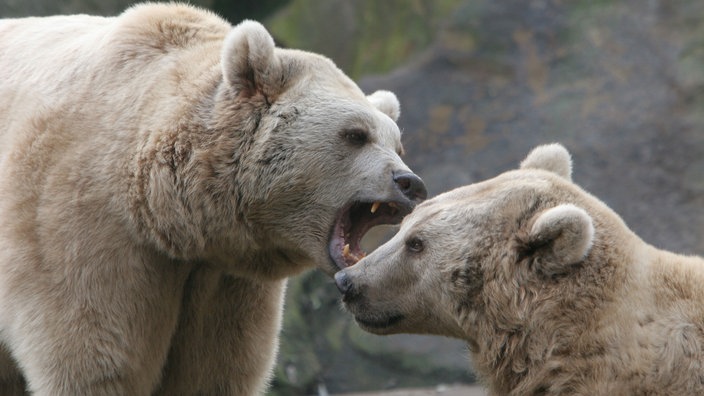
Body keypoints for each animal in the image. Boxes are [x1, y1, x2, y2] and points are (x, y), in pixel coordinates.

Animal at [0, 3, 426, 396]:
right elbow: (95, 359)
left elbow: (215, 370)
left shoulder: (225, 281)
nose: (409, 182)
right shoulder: (80, 225)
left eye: (397, 145)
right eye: (355, 134)